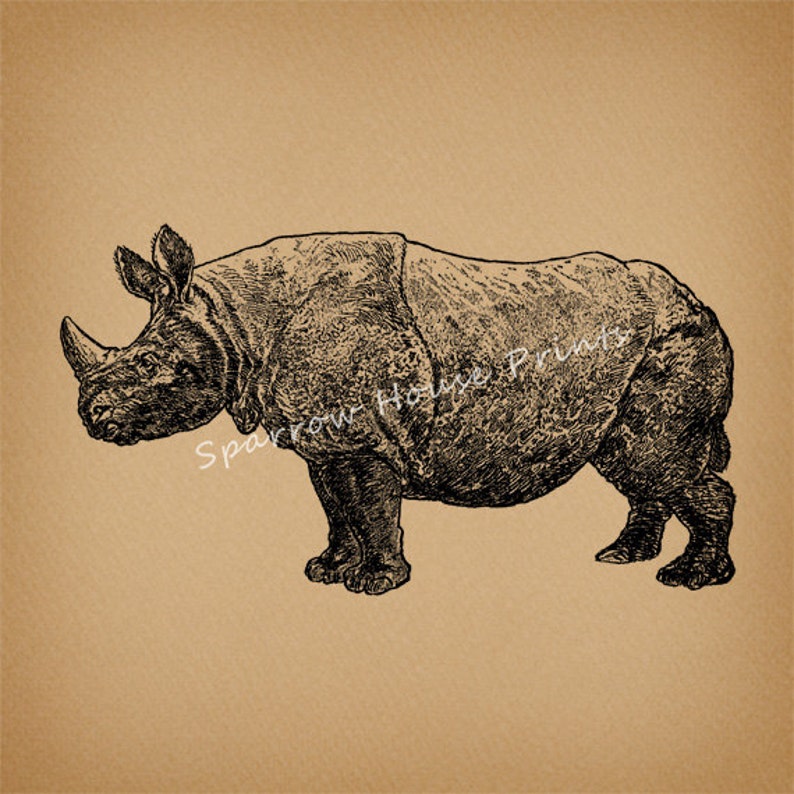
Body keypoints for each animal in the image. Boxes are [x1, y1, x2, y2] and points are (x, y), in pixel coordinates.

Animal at [61, 226, 735, 595]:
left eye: (150, 364)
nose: (91, 417)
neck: (234, 319)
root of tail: (695, 298)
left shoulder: (367, 437)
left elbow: (371, 507)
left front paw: (376, 584)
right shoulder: (327, 439)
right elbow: (336, 506)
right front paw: (327, 570)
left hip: (675, 335)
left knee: (660, 460)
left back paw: (686, 579)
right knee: (637, 465)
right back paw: (622, 557)